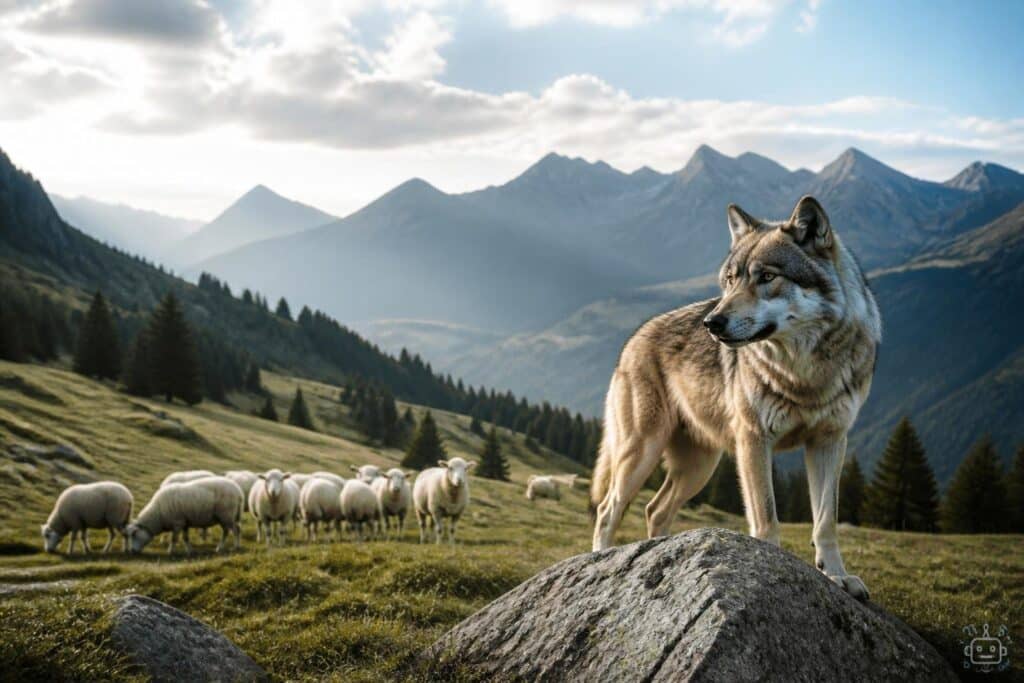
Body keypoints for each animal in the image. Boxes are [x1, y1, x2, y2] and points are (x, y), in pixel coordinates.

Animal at [590, 195, 880, 600]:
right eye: (730, 280)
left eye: (767, 277)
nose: (712, 323)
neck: (804, 372)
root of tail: (635, 337)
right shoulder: (754, 440)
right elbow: (767, 516)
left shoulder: (829, 442)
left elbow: (826, 521)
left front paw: (837, 576)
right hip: (642, 452)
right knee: (607, 509)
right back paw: (600, 562)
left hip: (699, 467)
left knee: (654, 510)